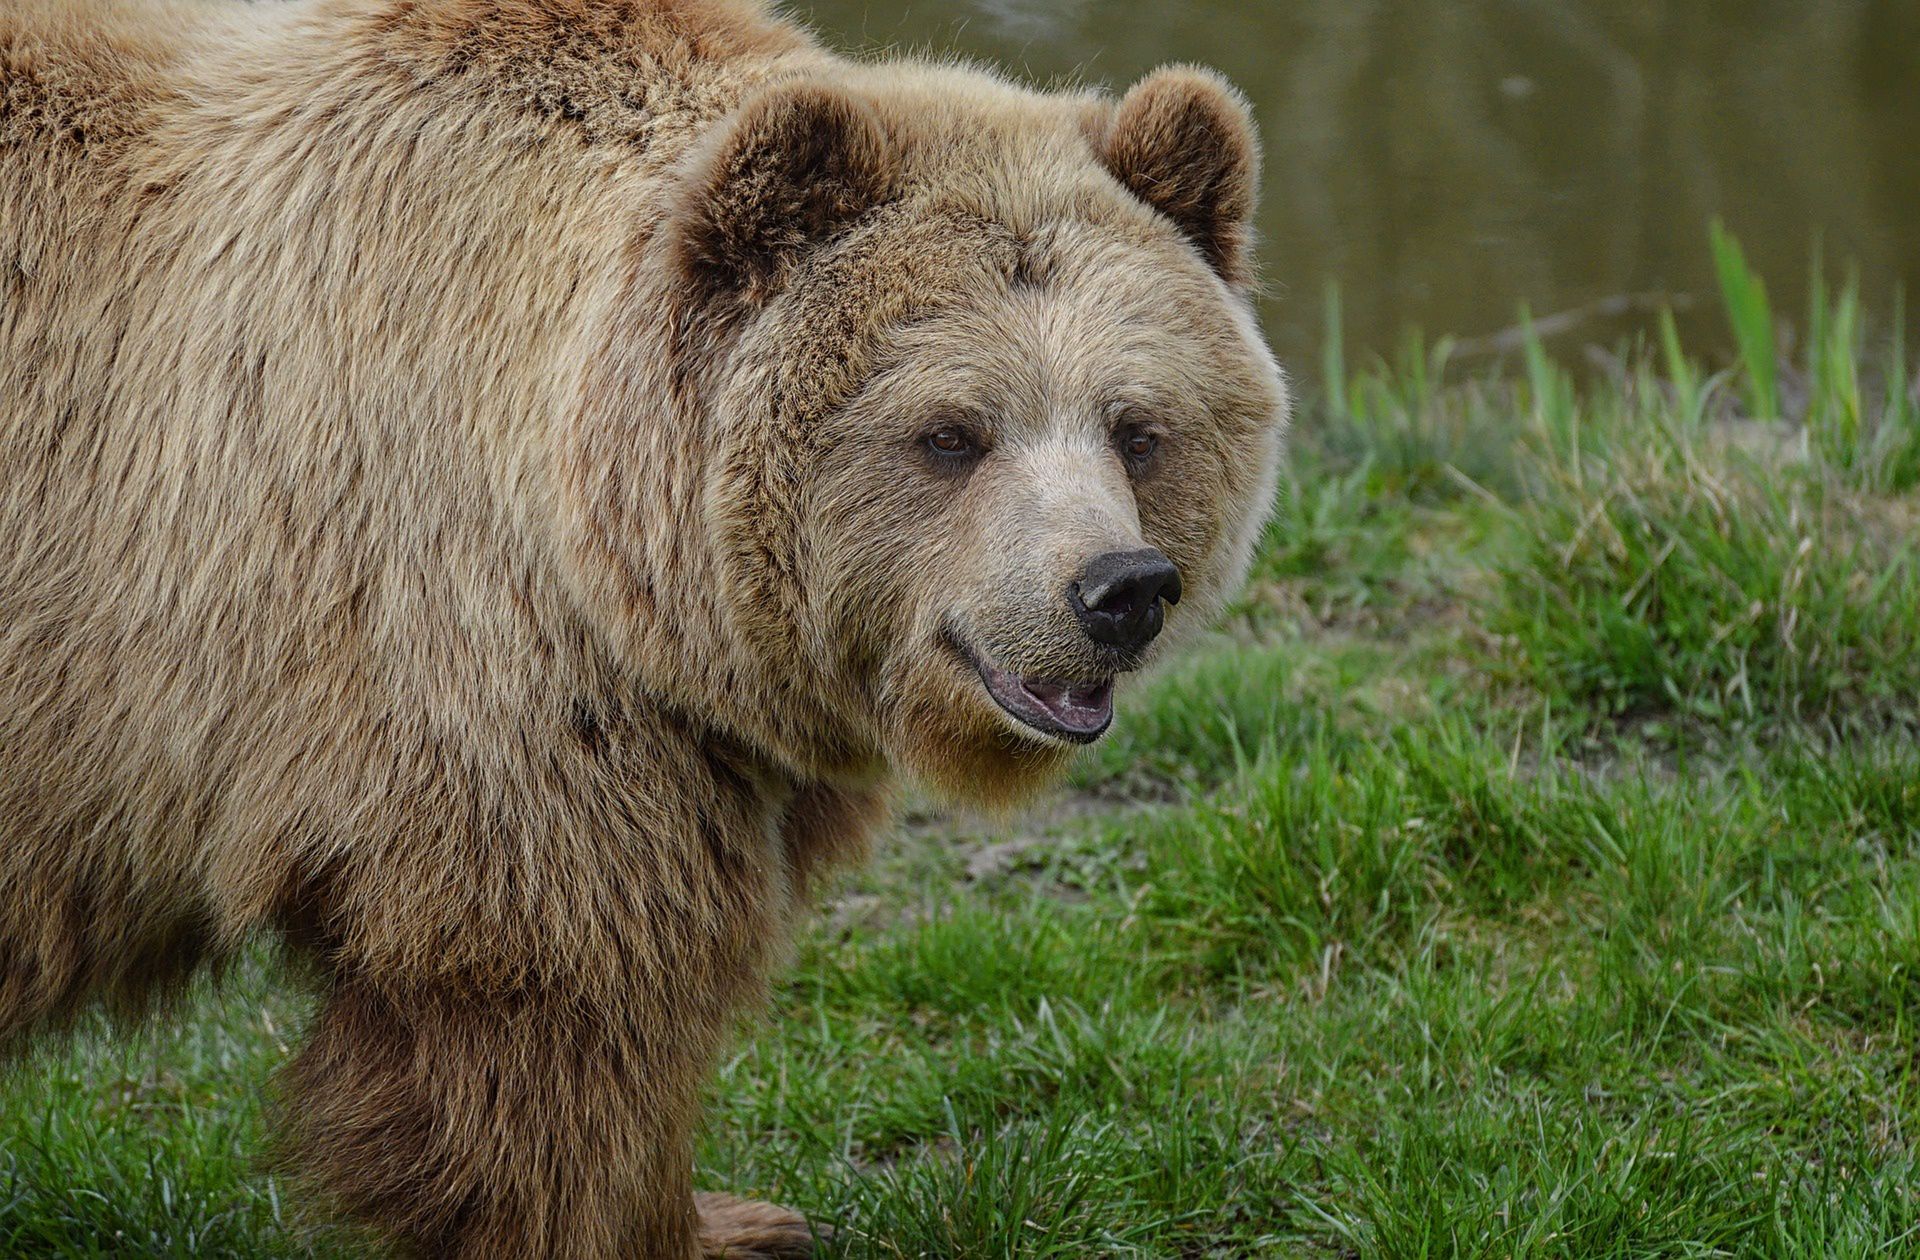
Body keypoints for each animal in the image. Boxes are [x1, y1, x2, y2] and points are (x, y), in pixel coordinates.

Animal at [0, 0, 1290, 1252]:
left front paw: (734, 1216)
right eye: (951, 432)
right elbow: (559, 1012)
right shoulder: (470, 678)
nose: (1117, 590)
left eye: (1136, 426)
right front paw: (663, 1221)